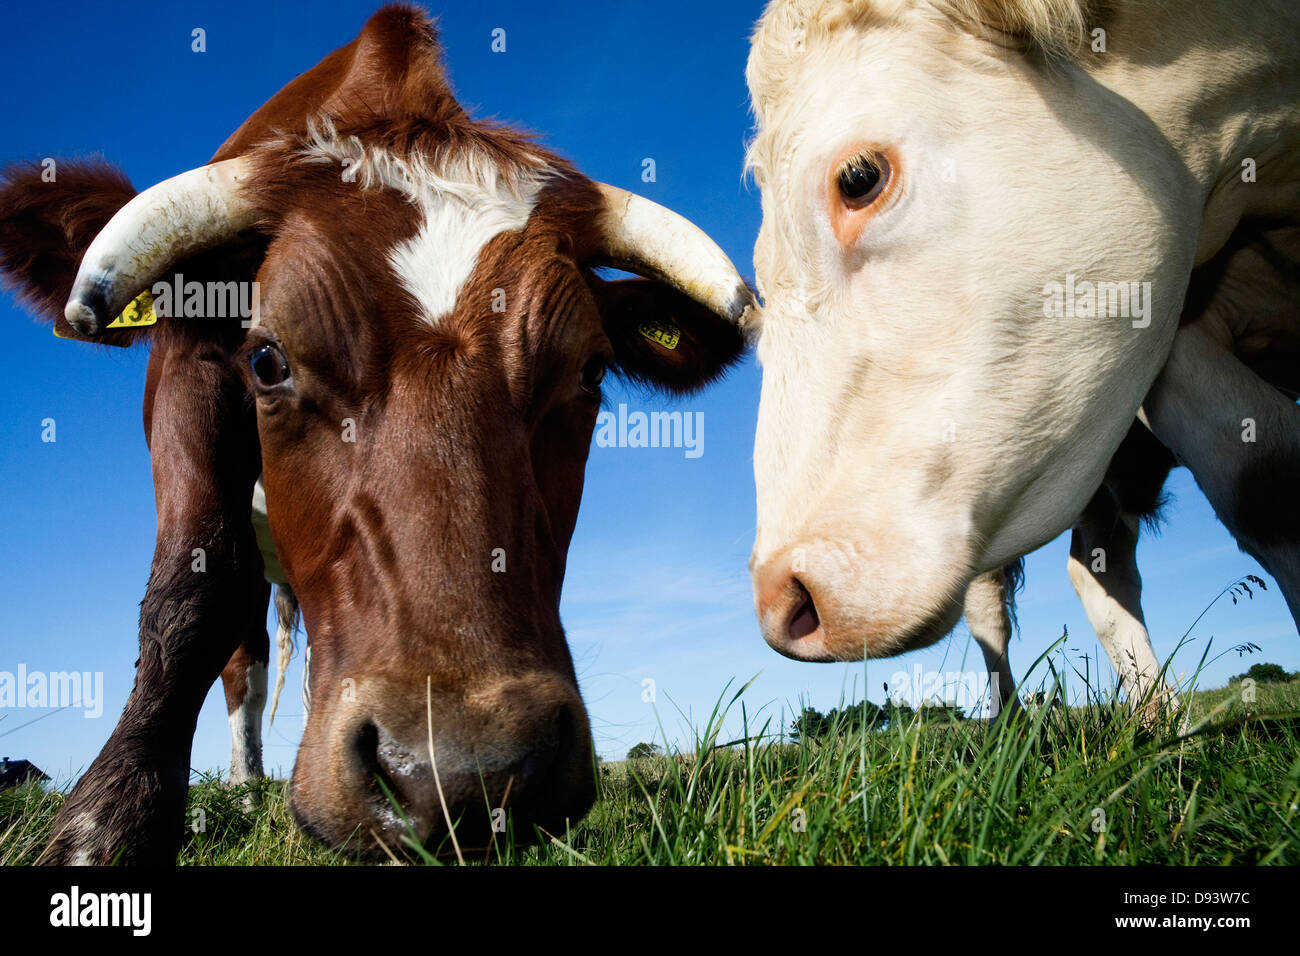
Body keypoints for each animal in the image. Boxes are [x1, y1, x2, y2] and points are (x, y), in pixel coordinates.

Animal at [0, 1, 759, 868]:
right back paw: (245, 789)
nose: (464, 774)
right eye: (267, 359)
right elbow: (191, 592)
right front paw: (108, 824)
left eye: (592, 371)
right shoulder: (184, 377)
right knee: (242, 656)